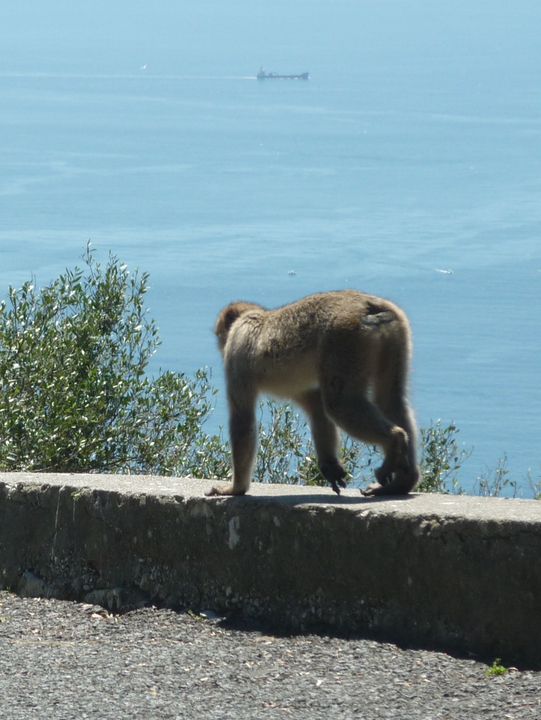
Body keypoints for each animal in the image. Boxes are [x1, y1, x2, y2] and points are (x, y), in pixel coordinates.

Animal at [205, 290, 420, 498]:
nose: (220, 343)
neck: (254, 315)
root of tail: (370, 306)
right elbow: (316, 409)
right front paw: (329, 465)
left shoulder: (237, 351)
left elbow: (242, 419)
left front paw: (236, 489)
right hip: (395, 336)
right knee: (391, 400)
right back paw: (403, 482)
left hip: (345, 339)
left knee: (339, 404)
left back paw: (395, 441)